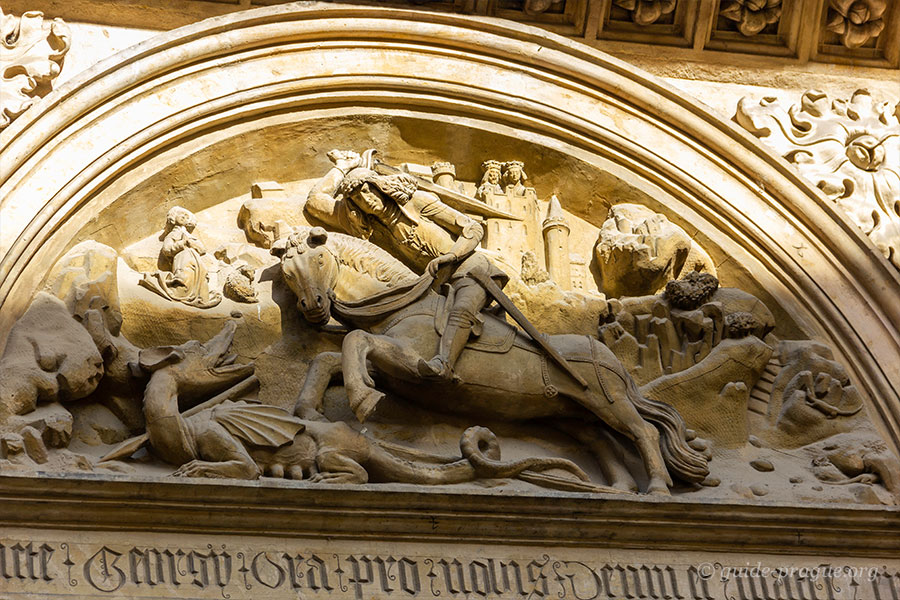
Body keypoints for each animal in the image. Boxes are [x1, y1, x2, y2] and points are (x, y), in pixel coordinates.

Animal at [274, 225, 712, 492]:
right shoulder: (388, 369)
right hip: (572, 414)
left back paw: (657, 487)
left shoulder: (411, 365)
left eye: (317, 260)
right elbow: (329, 358)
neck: (400, 304)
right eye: (287, 272)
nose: (313, 308)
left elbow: (354, 341)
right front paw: (308, 411)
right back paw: (619, 488)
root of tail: (609, 355)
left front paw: (360, 400)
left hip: (609, 402)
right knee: (602, 441)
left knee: (644, 432)